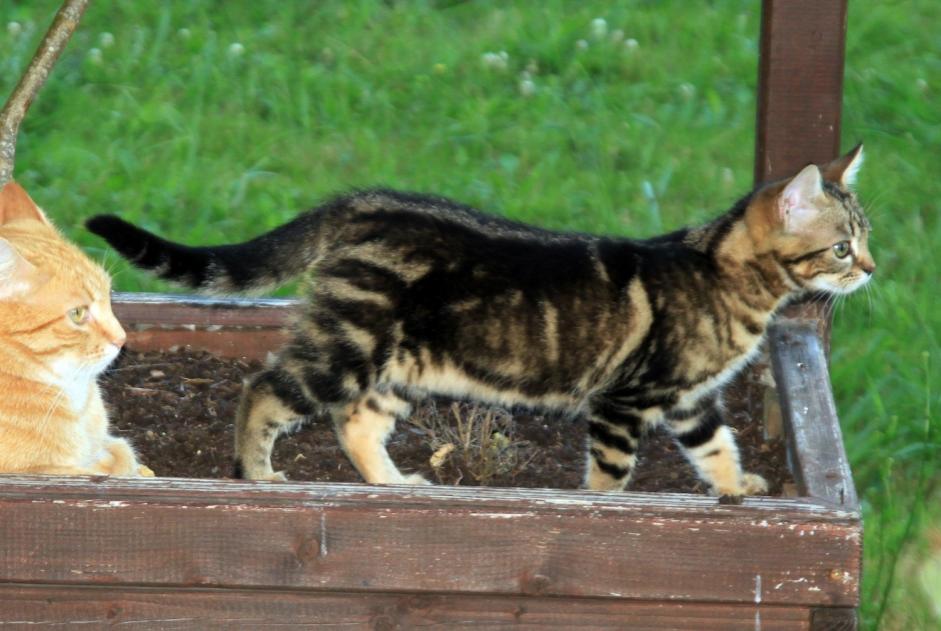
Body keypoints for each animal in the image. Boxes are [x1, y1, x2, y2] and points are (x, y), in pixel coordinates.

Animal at [88, 146, 872, 496]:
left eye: (863, 236)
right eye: (842, 245)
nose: (871, 267)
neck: (722, 274)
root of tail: (364, 203)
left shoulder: (690, 400)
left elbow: (719, 448)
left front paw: (737, 489)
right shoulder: (626, 400)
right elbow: (610, 475)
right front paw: (601, 511)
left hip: (400, 365)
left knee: (356, 423)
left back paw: (393, 483)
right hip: (350, 346)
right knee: (263, 389)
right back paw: (256, 472)